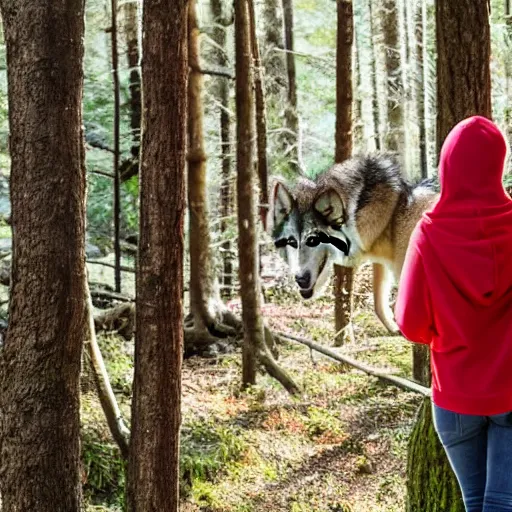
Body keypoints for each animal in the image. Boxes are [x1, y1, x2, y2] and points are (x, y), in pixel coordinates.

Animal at [266, 154, 438, 332]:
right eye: (292, 241)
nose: (300, 279)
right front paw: (394, 328)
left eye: (314, 240)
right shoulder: (381, 263)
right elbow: (378, 305)